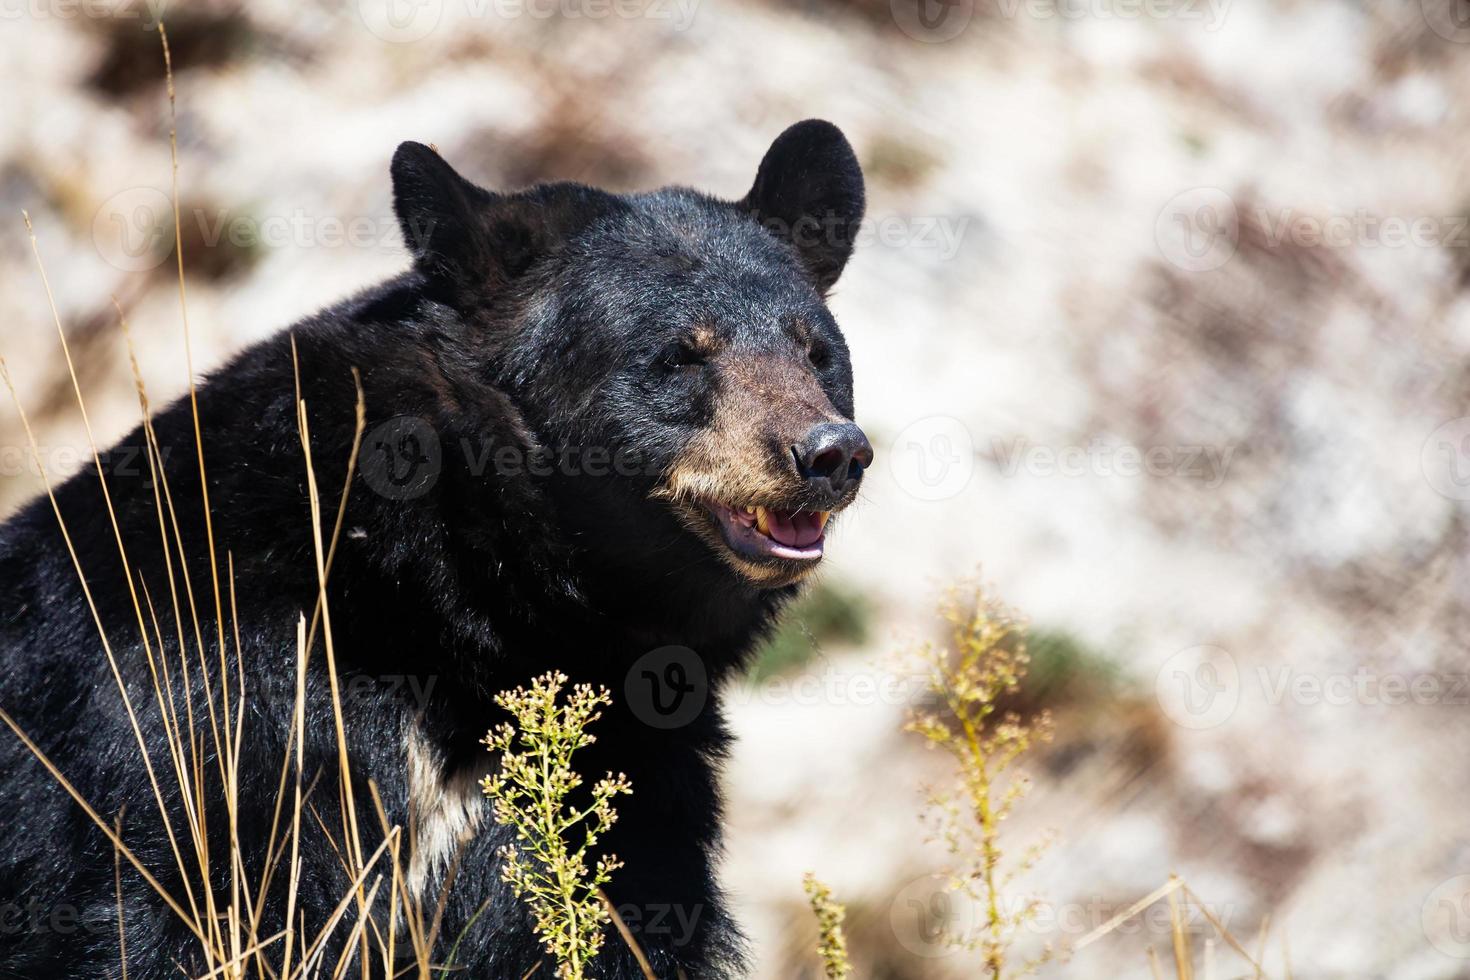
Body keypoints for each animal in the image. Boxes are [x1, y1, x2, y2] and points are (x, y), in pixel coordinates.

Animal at [0, 119, 870, 975]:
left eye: (818, 351)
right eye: (680, 354)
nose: (831, 452)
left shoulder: (628, 768)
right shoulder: (217, 718)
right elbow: (171, 909)